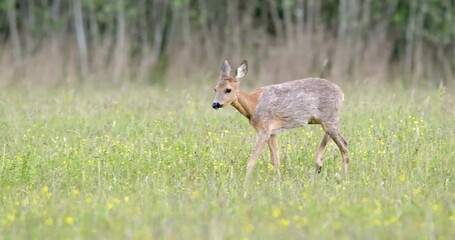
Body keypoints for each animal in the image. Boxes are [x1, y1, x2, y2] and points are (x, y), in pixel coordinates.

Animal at [212, 59, 350, 176]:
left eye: (228, 90)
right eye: (215, 89)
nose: (215, 104)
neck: (252, 105)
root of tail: (342, 93)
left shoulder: (264, 129)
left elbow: (251, 161)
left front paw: (246, 181)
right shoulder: (272, 132)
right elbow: (276, 160)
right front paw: (277, 178)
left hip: (329, 117)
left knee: (344, 144)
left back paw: (343, 175)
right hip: (327, 119)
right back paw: (319, 164)